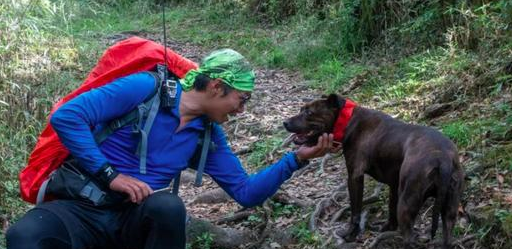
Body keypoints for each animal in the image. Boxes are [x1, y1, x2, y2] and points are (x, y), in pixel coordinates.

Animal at [284, 94, 464, 248]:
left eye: (309, 112)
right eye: (301, 109)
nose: (285, 122)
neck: (348, 120)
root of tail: (442, 159)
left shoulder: (354, 176)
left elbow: (355, 211)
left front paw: (350, 235)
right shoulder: (394, 184)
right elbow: (391, 207)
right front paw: (388, 227)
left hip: (407, 203)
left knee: (409, 239)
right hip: (449, 208)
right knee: (447, 235)